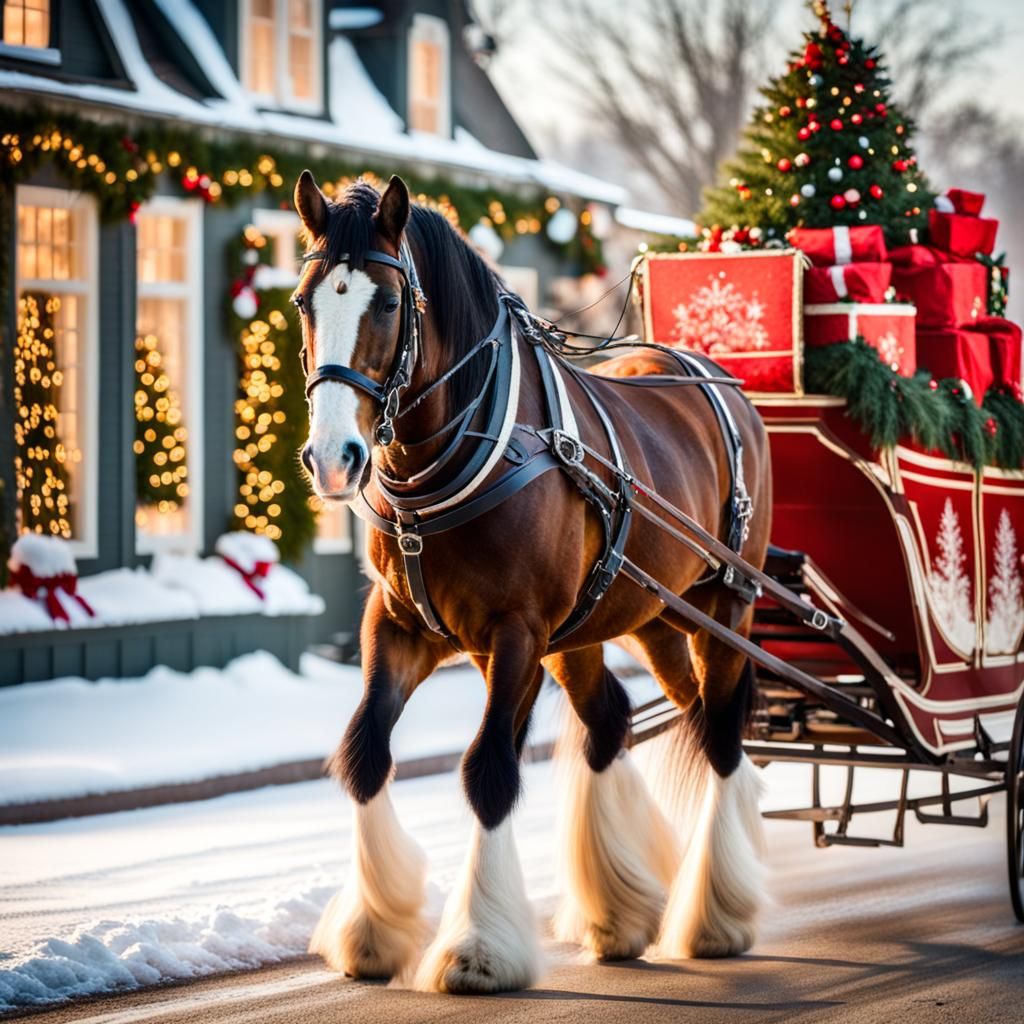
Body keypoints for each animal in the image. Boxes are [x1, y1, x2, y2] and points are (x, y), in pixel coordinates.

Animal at [291, 170, 772, 994]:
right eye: (302, 300)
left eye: (387, 304)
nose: (333, 457)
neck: (467, 449)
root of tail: (723, 381)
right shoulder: (399, 626)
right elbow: (365, 753)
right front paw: (374, 931)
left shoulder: (515, 633)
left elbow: (489, 770)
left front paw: (477, 948)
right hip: (634, 621)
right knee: (620, 722)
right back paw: (621, 913)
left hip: (726, 608)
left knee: (719, 738)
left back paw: (716, 915)